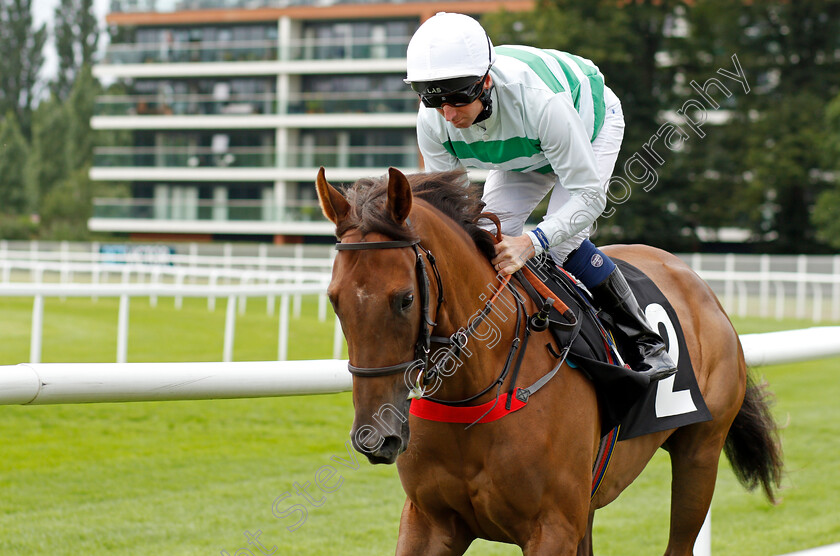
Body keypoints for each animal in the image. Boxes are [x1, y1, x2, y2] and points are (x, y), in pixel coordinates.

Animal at [316, 166, 780, 556]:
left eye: (405, 299)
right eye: (334, 299)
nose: (374, 437)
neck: (474, 394)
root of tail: (699, 283)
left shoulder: (552, 527)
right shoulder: (429, 520)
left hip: (700, 453)